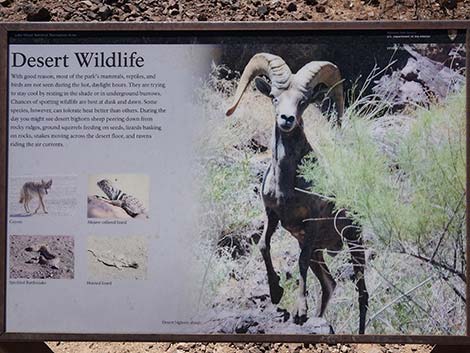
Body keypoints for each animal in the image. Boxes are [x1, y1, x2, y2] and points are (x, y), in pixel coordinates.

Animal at [226, 53, 370, 332]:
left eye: (302, 102)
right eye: (274, 97)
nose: (286, 119)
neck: (286, 185)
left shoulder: (311, 222)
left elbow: (299, 262)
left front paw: (299, 312)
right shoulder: (272, 215)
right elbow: (263, 246)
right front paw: (276, 293)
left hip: (353, 241)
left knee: (362, 293)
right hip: (318, 251)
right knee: (329, 284)